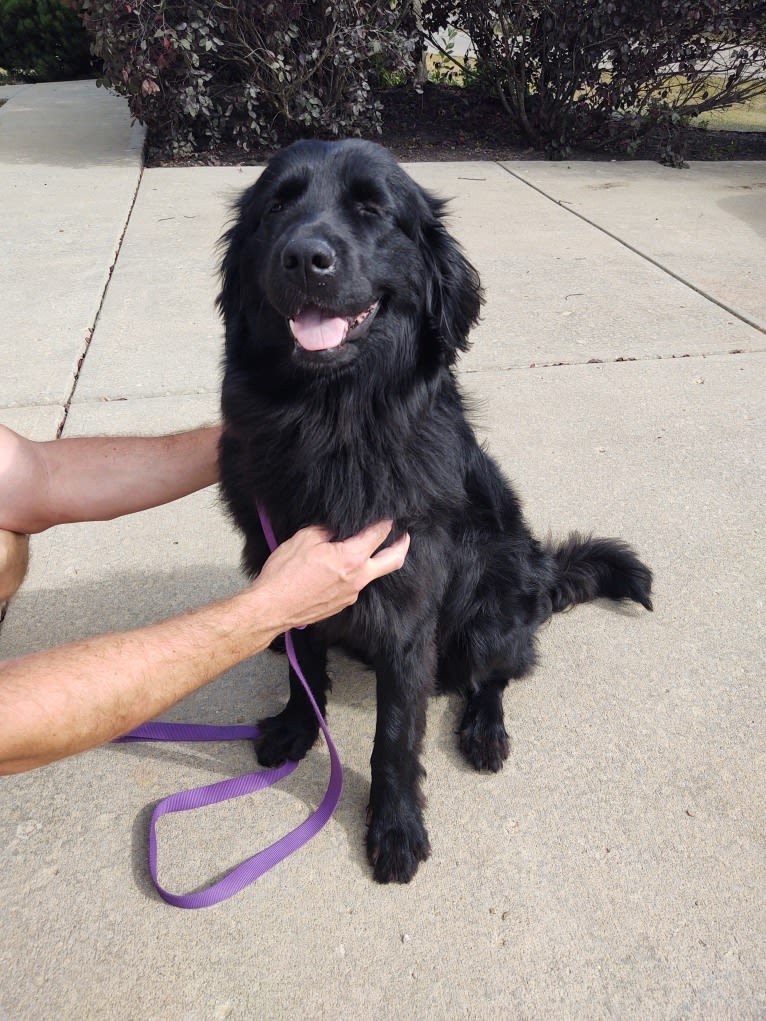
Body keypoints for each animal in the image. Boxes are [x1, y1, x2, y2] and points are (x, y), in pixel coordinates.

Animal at [217, 139, 653, 882]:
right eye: (277, 206)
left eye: (372, 208)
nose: (304, 257)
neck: (329, 419)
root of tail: (541, 577)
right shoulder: (288, 563)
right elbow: (305, 664)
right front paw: (298, 727)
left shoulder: (407, 602)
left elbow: (396, 733)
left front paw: (394, 824)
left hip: (491, 609)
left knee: (498, 672)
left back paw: (484, 728)